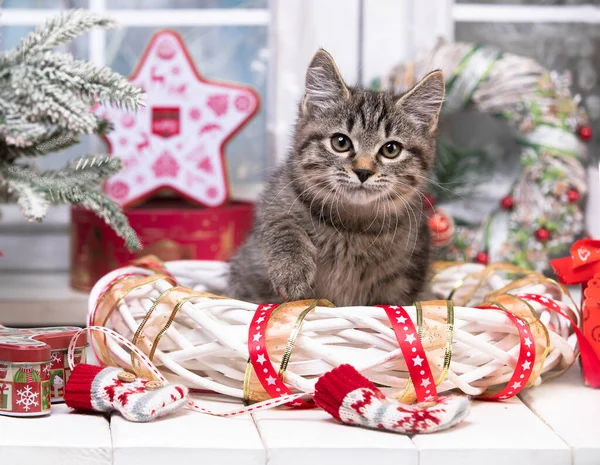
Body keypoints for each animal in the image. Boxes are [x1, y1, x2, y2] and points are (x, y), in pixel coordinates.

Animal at [230, 49, 446, 308]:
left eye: (391, 149)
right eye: (340, 142)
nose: (363, 171)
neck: (352, 226)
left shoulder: (412, 263)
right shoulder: (279, 195)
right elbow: (281, 225)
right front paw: (292, 270)